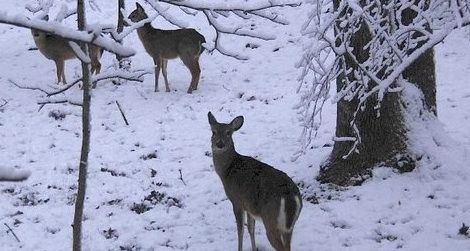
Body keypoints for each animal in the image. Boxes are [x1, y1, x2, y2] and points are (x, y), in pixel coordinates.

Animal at [207, 112, 302, 251]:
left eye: (228, 133)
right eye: (213, 132)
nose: (220, 144)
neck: (227, 171)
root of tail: (291, 196)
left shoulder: (236, 200)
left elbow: (240, 230)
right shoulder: (249, 206)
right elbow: (251, 229)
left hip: (271, 219)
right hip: (289, 226)